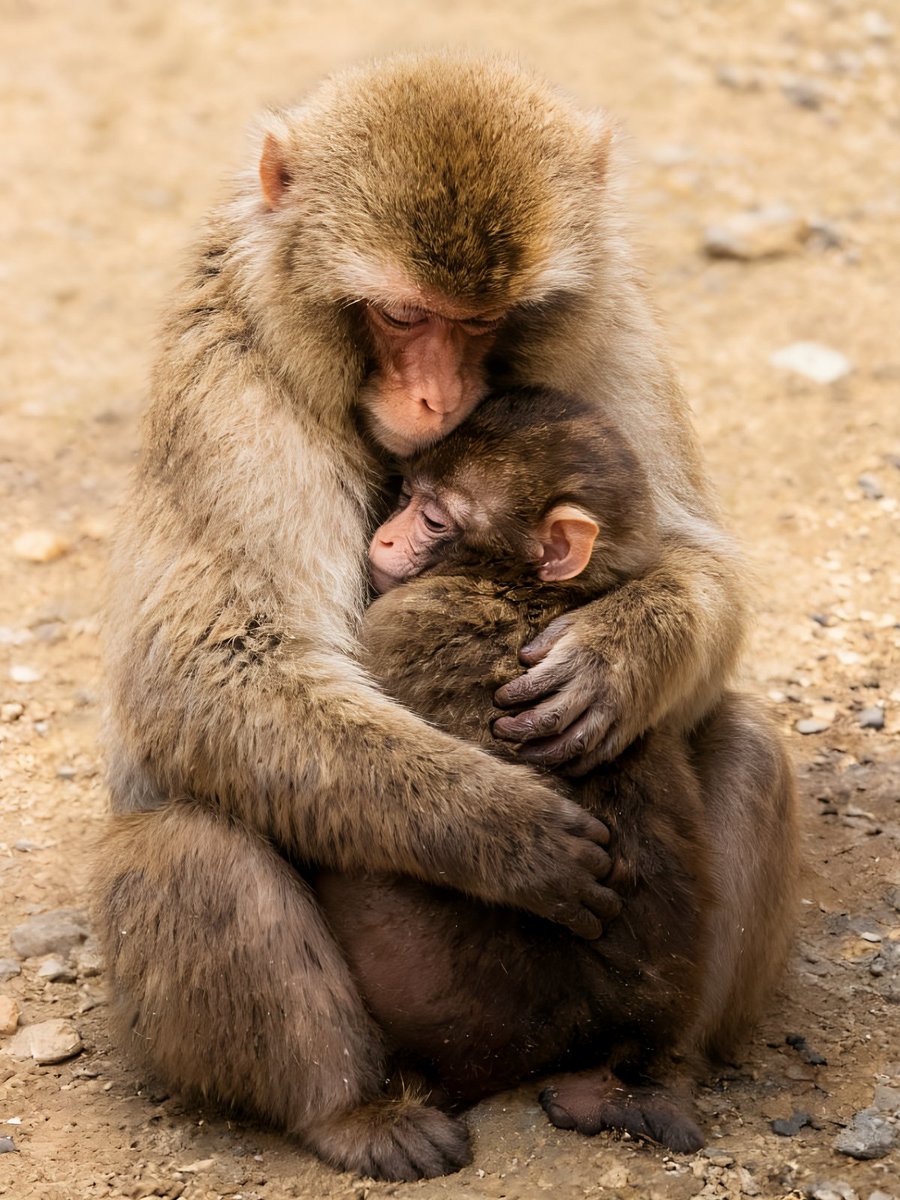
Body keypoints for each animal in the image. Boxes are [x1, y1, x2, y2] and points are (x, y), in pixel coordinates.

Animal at [316, 385, 795, 1154]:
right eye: (409, 495)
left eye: (435, 518)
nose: (386, 539)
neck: (521, 587)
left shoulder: (404, 616)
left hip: (449, 1011)